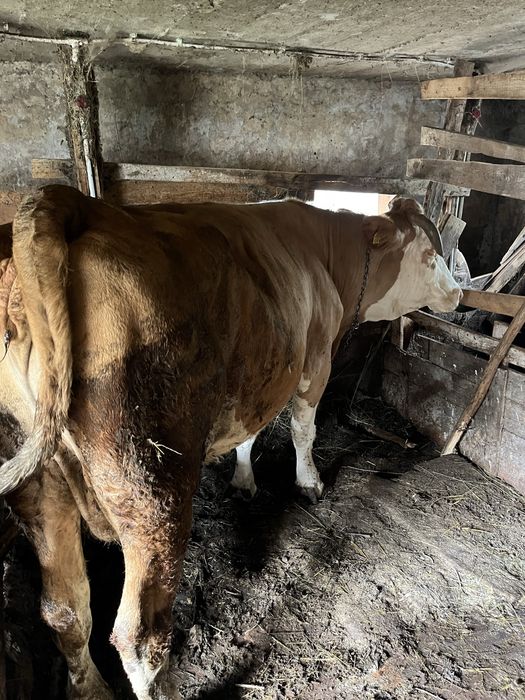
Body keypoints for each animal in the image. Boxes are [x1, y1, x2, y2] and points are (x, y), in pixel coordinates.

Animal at [0, 185, 461, 699]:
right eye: (430, 255)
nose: (459, 292)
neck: (327, 258)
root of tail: (74, 206)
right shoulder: (315, 357)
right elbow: (303, 429)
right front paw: (309, 482)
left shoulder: (261, 374)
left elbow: (251, 431)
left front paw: (244, 480)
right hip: (151, 487)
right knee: (139, 635)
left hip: (40, 485)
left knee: (66, 611)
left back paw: (92, 689)